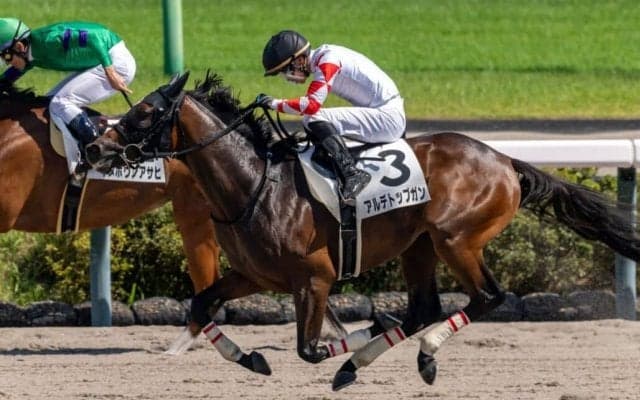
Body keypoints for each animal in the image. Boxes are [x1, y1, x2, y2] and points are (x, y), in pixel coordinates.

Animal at [87, 72, 640, 391]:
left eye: (145, 112)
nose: (95, 148)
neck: (255, 185)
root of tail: (505, 159)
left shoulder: (314, 278)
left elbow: (310, 347)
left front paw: (353, 335)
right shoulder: (253, 275)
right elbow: (201, 306)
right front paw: (252, 359)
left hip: (455, 239)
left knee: (487, 297)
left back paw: (419, 354)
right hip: (419, 246)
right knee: (424, 307)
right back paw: (368, 362)